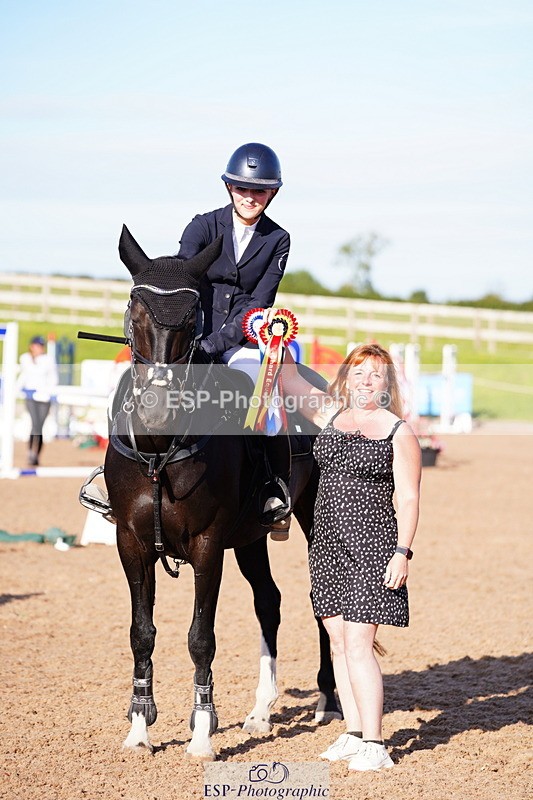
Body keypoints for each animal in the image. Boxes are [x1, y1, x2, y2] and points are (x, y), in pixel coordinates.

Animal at [104, 225, 340, 759]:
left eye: (192, 319)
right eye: (135, 311)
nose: (156, 408)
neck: (160, 448)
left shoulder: (208, 545)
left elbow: (200, 638)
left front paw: (202, 733)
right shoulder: (130, 543)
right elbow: (141, 633)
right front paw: (139, 727)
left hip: (312, 517)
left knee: (320, 601)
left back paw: (328, 700)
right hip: (251, 538)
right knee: (269, 602)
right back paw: (261, 712)